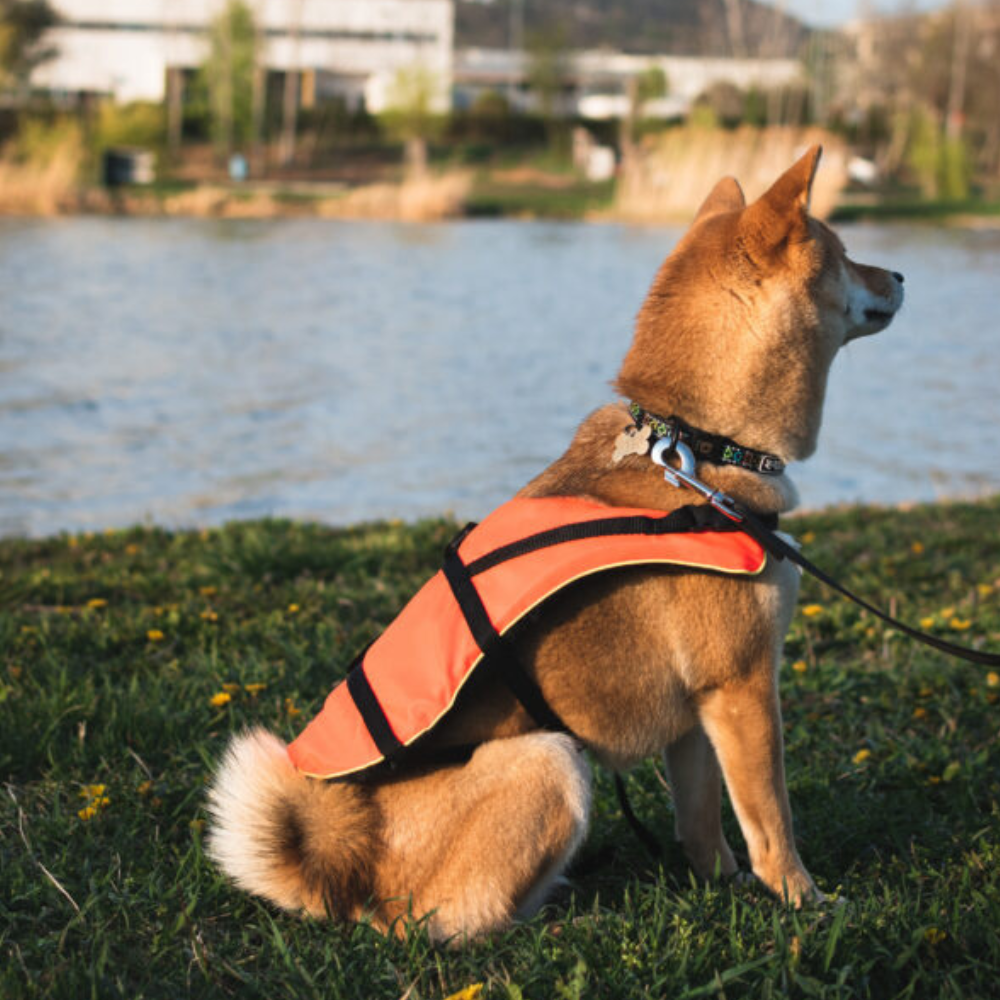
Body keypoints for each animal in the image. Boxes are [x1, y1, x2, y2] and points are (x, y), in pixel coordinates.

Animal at [205, 145, 908, 940]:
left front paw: (723, 887)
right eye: (845, 254)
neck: (696, 445)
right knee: (447, 921)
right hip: (550, 756)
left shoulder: (698, 710)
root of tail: (341, 868)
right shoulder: (744, 687)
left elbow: (703, 824)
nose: (901, 275)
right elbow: (771, 822)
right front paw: (804, 901)